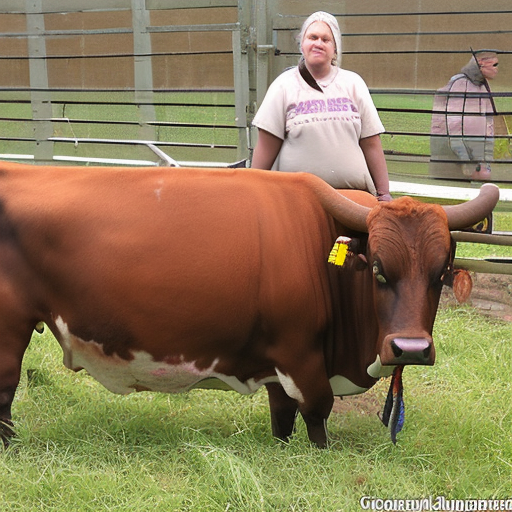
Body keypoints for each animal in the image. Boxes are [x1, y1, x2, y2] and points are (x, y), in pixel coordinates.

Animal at [0, 163, 499, 448]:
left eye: (440, 272)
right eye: (378, 268)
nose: (410, 349)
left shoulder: (277, 360)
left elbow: (282, 417)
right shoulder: (302, 356)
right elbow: (316, 415)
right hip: (10, 328)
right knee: (5, 391)